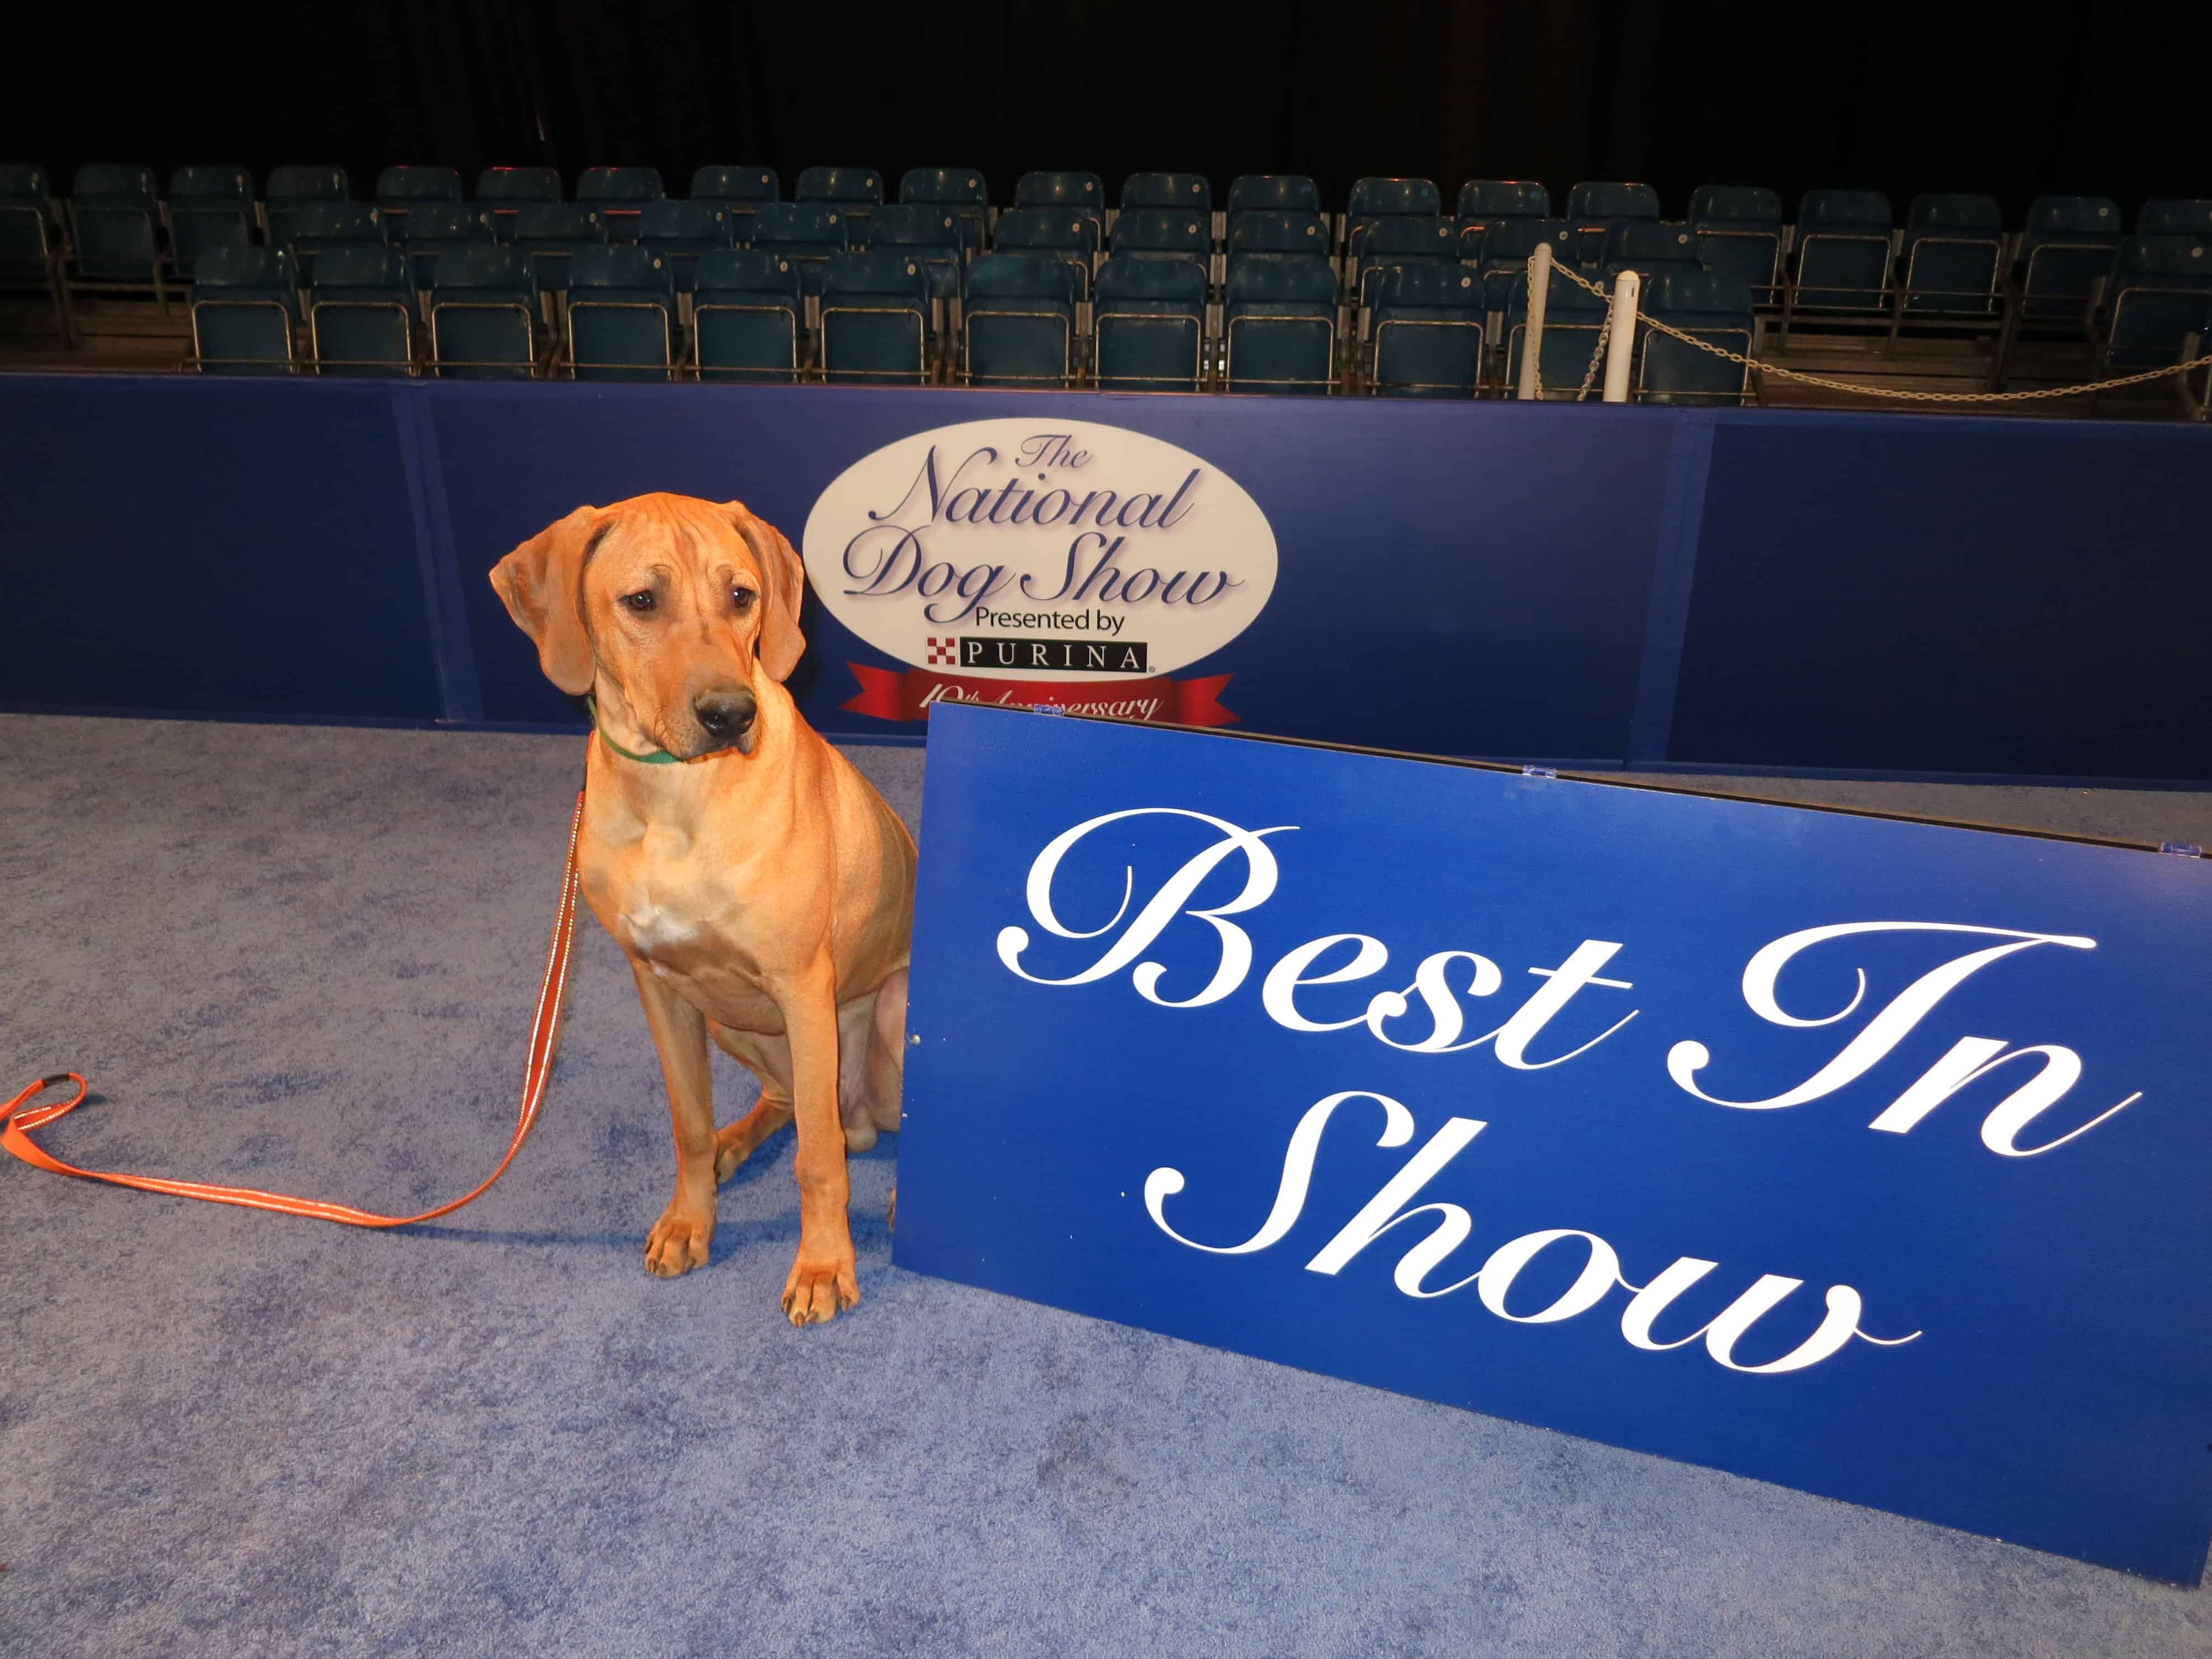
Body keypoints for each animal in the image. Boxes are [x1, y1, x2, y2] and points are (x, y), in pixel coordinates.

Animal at [495, 491, 916, 1327]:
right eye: (641, 601)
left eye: (742, 596)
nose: (730, 714)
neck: (672, 797)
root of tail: (867, 1120)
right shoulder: (658, 985)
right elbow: (687, 1124)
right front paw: (691, 1220)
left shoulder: (802, 985)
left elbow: (817, 1163)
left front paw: (824, 1266)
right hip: (734, 1021)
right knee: (787, 1102)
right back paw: (737, 1140)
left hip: (888, 1005)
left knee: (846, 1130)